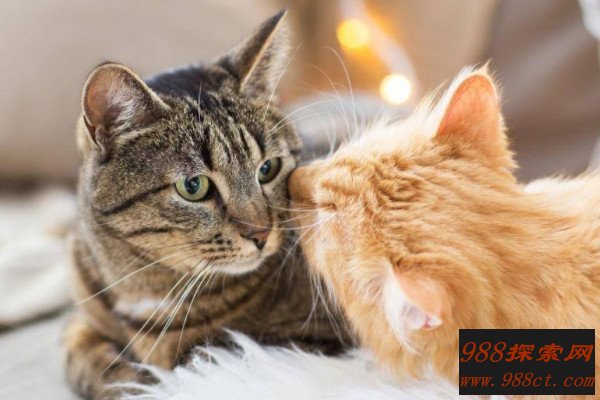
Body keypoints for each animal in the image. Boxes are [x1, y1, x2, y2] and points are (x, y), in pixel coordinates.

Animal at [62, 11, 348, 399]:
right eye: (193, 186)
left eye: (268, 169)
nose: (261, 233)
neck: (142, 288)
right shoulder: (82, 313)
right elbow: (78, 352)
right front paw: (124, 379)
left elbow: (207, 356)